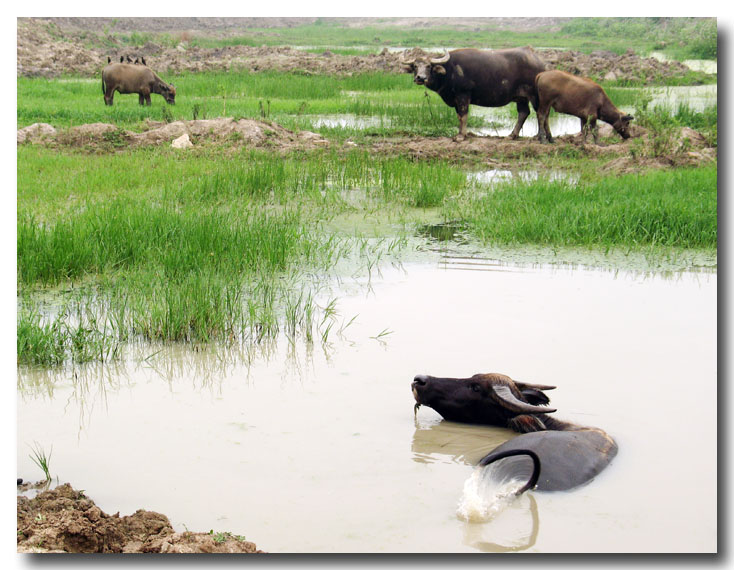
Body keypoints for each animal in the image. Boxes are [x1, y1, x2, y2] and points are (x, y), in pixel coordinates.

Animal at [402, 48, 552, 142]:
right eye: (415, 66)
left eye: (428, 66)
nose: (420, 78)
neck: (450, 71)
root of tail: (541, 63)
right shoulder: (456, 100)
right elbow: (459, 116)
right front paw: (460, 134)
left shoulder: (463, 95)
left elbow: (463, 116)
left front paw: (461, 136)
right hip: (521, 97)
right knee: (524, 113)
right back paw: (512, 135)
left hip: (535, 95)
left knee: (541, 113)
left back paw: (539, 136)